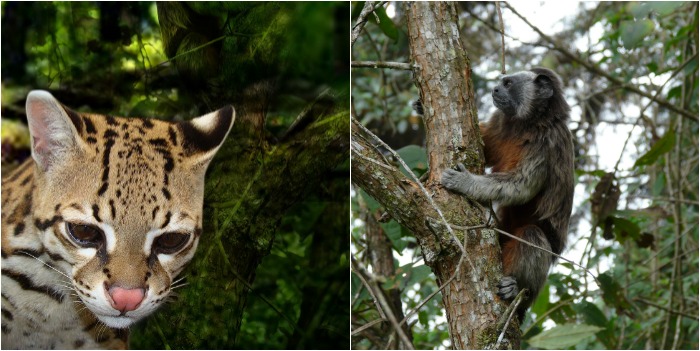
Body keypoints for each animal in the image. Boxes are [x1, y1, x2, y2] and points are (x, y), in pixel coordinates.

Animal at [432, 67, 576, 324]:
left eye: (508, 84)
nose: (495, 89)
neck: (528, 124)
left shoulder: (546, 143)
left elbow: (520, 186)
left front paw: (465, 182)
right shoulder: (501, 122)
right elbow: (486, 146)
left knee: (534, 236)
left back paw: (517, 290)